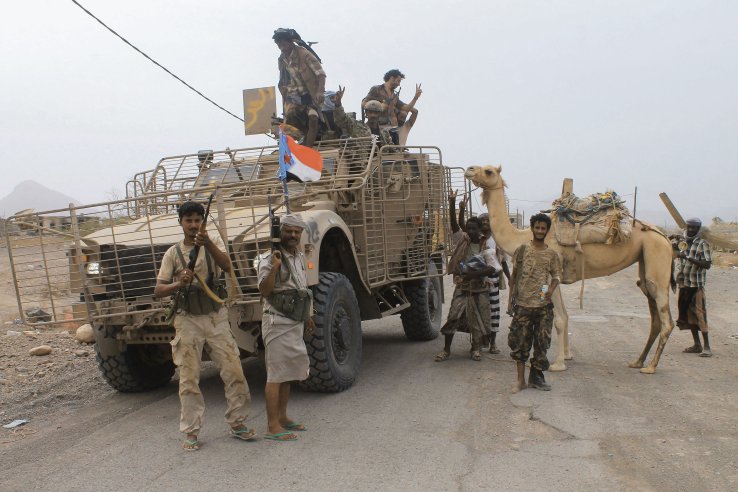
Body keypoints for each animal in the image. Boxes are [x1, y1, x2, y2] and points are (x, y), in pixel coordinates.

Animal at [466, 165, 672, 372]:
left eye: (489, 171)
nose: (469, 170)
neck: (525, 237)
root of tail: (664, 237)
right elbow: (565, 315)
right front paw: (567, 355)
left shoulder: (551, 277)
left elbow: (560, 319)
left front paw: (557, 364)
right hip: (645, 259)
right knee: (654, 315)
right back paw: (638, 361)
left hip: (657, 255)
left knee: (665, 318)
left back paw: (650, 366)